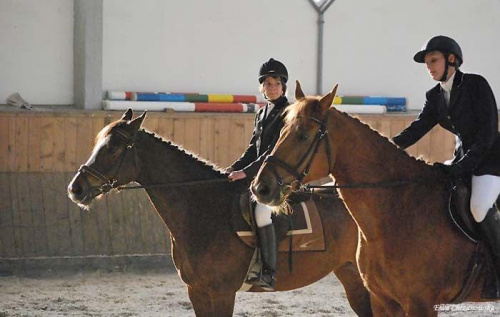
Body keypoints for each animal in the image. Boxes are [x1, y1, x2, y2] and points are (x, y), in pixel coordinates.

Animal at [67, 109, 372, 316]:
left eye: (113, 148)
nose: (76, 188)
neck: (202, 208)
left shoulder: (221, 292)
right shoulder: (197, 291)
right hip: (352, 275)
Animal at [254, 82, 500, 316]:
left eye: (303, 136)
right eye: (281, 132)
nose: (260, 188)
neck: (398, 209)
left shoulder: (422, 304)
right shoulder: (383, 301)